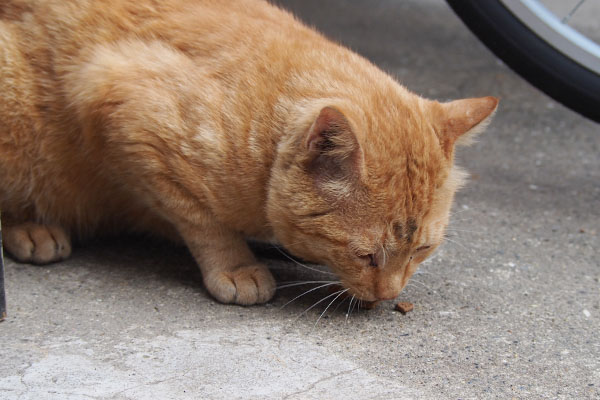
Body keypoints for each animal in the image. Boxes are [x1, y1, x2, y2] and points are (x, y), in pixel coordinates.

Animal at [0, 0, 496, 304]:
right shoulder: (124, 110)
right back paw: (30, 228)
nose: (389, 296)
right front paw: (238, 266)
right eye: (365, 256)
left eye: (422, 250)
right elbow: (203, 219)